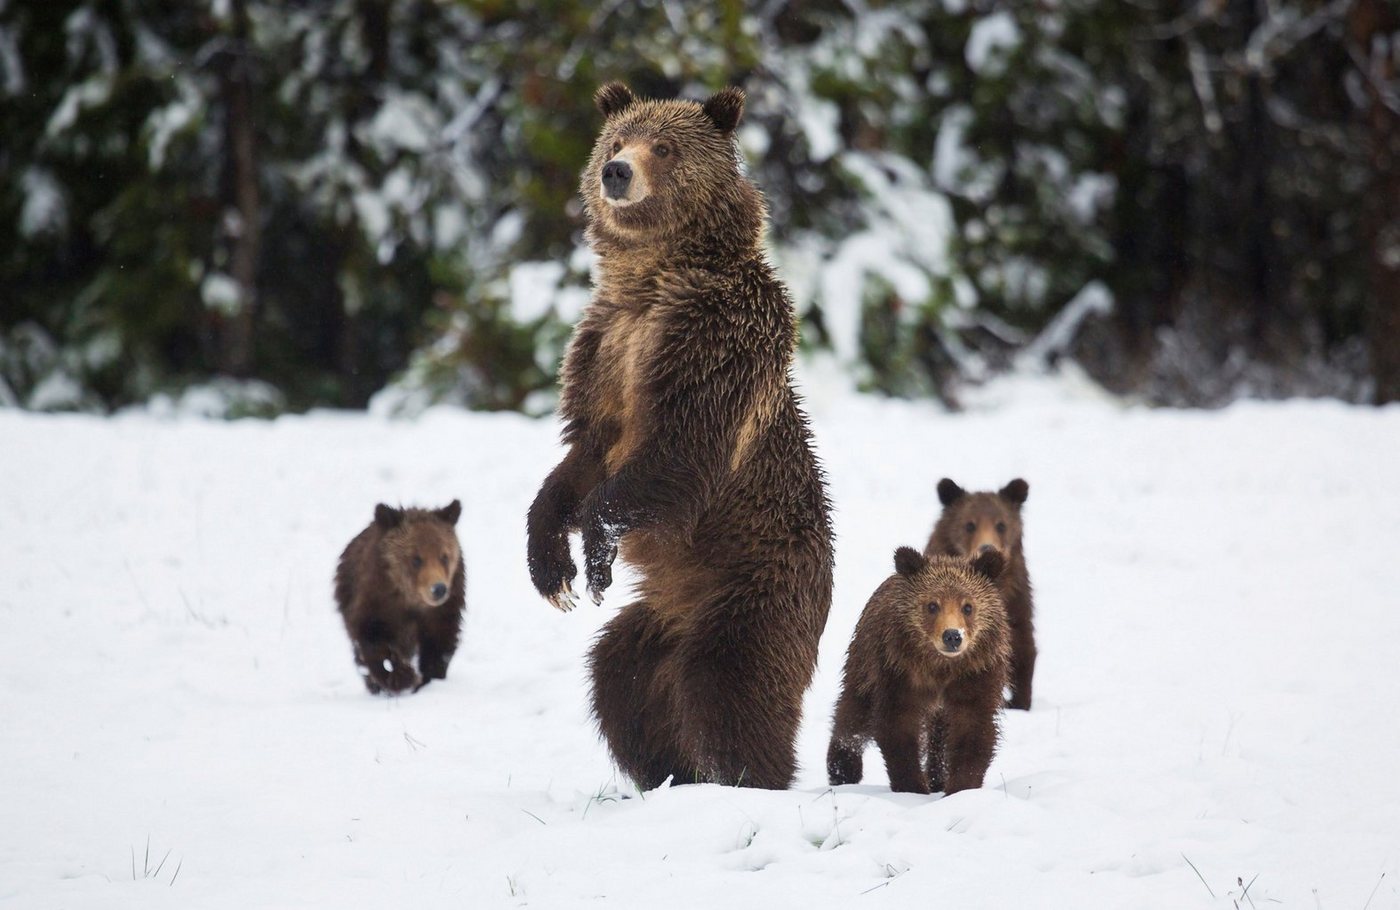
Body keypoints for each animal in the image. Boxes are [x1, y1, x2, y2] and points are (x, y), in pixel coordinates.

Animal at [336, 498, 467, 691]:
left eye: (444, 556)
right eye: (416, 559)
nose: (438, 589)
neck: (409, 599)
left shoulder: (442, 613)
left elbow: (439, 646)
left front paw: (428, 679)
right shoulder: (374, 603)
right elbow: (372, 641)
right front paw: (399, 675)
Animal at [526, 83, 828, 784]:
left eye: (663, 147)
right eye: (616, 139)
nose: (616, 172)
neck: (653, 280)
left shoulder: (712, 344)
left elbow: (678, 451)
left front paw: (595, 554)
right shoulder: (605, 349)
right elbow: (580, 456)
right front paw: (554, 571)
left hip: (753, 589)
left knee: (728, 687)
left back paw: (749, 777)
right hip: (658, 618)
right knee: (620, 680)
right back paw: (667, 773)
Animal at [823, 546, 1013, 795]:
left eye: (968, 606)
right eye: (932, 605)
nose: (953, 636)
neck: (940, 667)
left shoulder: (976, 675)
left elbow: (973, 729)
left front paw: (961, 788)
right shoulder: (899, 672)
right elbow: (898, 725)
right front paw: (912, 786)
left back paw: (937, 777)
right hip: (863, 660)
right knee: (853, 713)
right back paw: (842, 768)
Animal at [924, 476, 1036, 708]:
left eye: (1001, 524)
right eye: (969, 524)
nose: (988, 547)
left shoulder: (1016, 601)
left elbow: (1022, 645)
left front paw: (1020, 702)